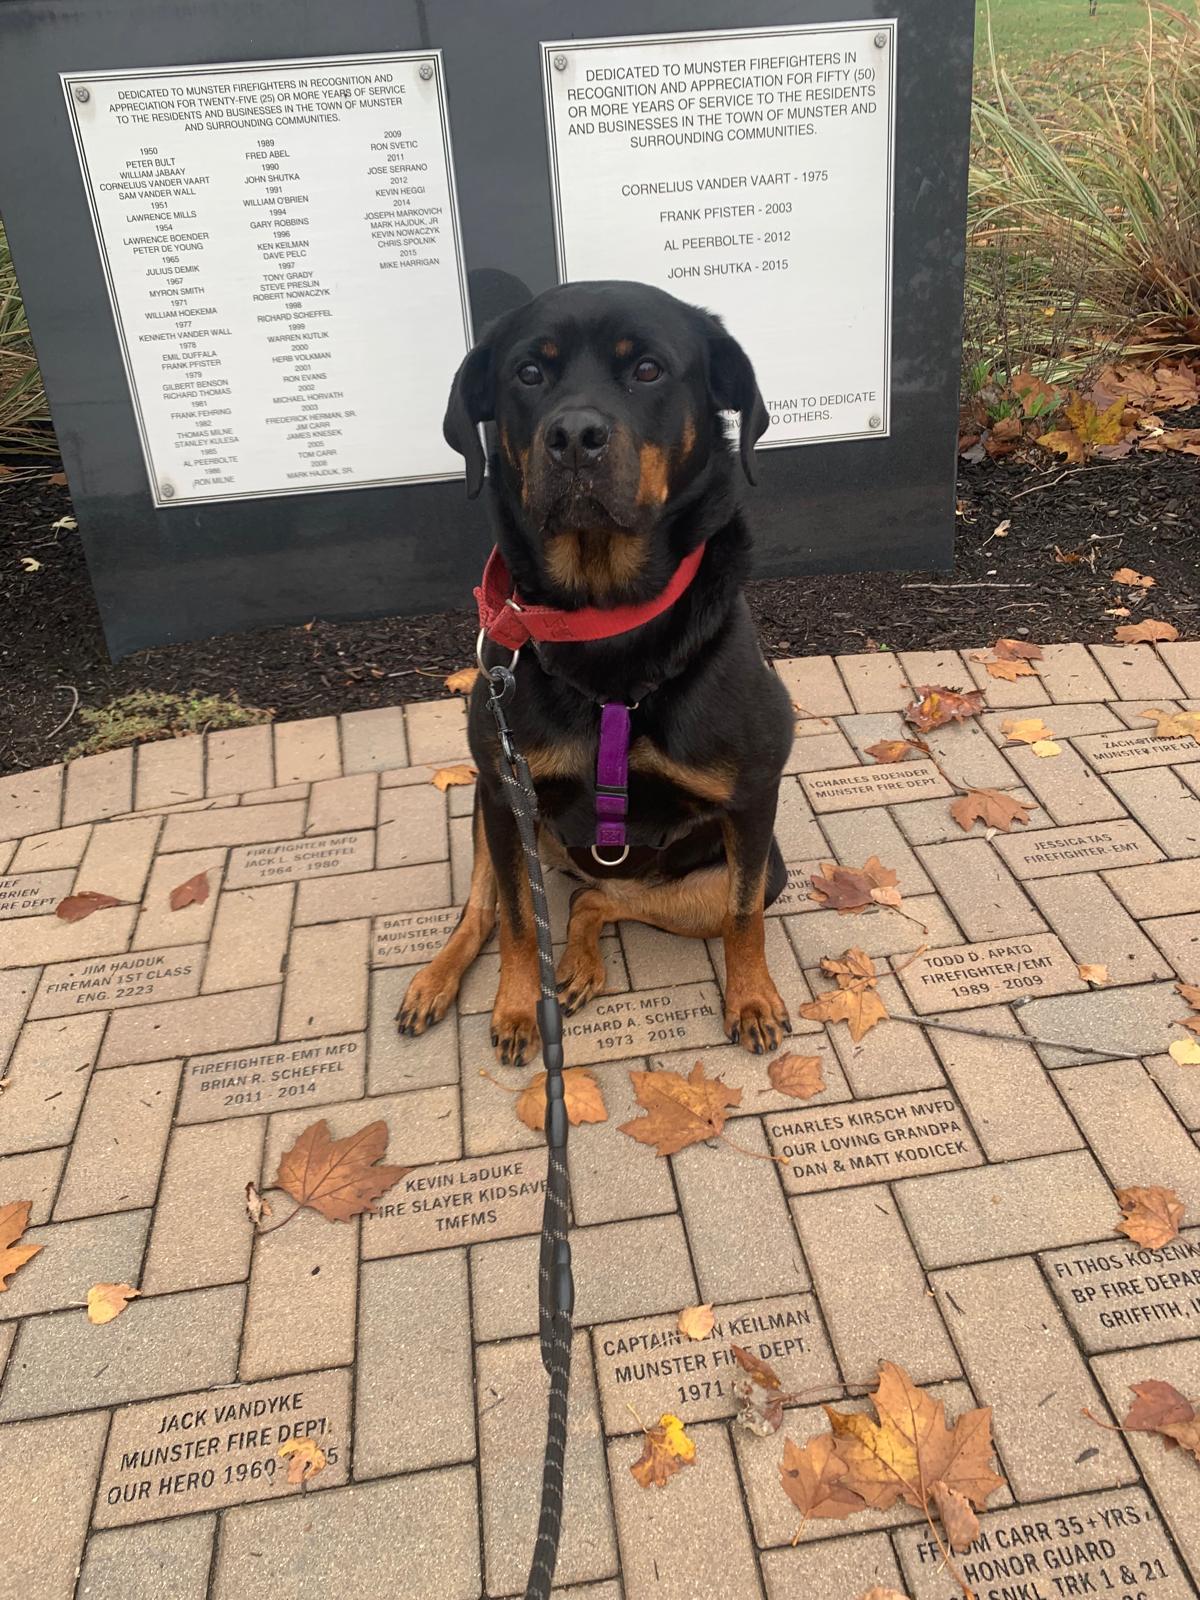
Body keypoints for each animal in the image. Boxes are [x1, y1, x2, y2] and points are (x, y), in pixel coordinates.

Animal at [400, 281, 803, 1068]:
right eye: (529, 373)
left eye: (647, 369)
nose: (575, 436)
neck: (603, 623)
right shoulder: (505, 789)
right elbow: (518, 924)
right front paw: (518, 1006)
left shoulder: (752, 799)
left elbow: (744, 918)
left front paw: (751, 999)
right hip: (493, 813)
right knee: (487, 907)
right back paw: (438, 978)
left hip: (740, 871)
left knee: (599, 901)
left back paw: (582, 960)